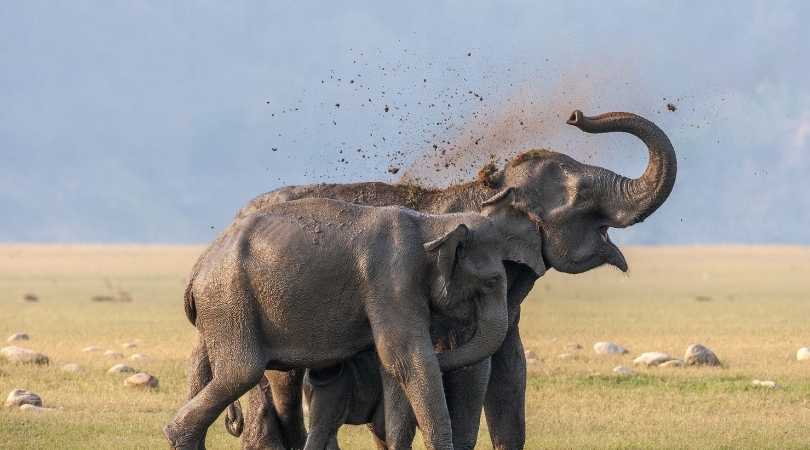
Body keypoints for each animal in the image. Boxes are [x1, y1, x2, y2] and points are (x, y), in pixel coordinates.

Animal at [163, 187, 544, 450]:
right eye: (492, 281)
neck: (431, 224)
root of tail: (197, 269)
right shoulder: (392, 280)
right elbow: (405, 359)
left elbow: (394, 368)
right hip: (229, 302)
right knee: (242, 372)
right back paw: (177, 433)